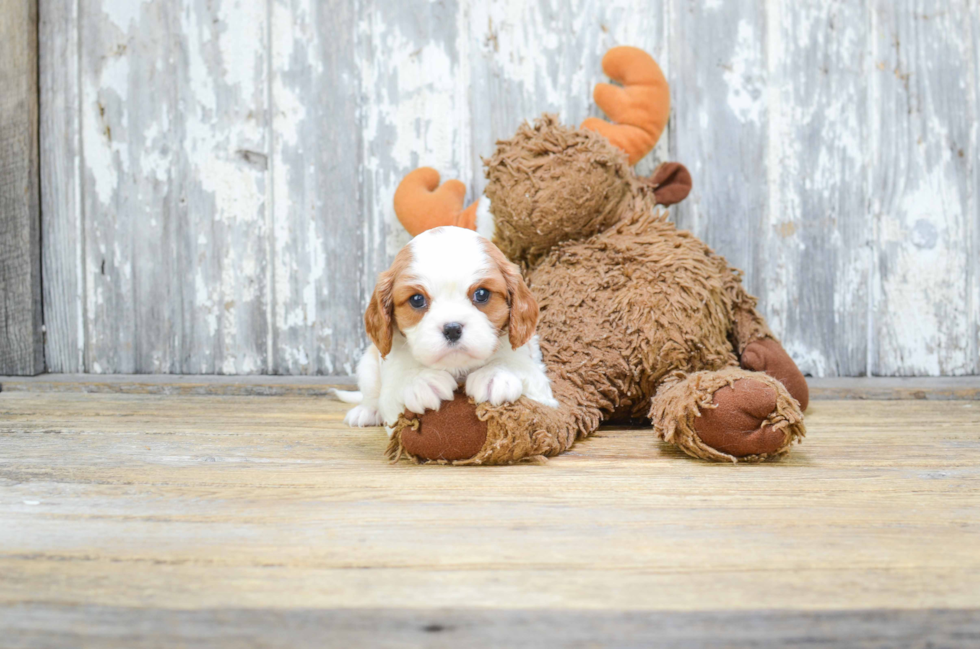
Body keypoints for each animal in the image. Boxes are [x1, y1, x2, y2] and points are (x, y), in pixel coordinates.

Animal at [336, 225, 556, 432]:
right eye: (417, 299)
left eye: (482, 294)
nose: (452, 329)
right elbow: (397, 386)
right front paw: (420, 381)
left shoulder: (541, 387)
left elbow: (516, 366)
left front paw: (494, 374)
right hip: (367, 365)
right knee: (371, 394)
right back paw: (367, 411)